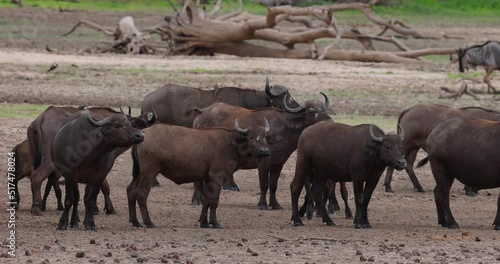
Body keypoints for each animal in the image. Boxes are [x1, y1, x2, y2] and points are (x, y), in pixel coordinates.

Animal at [26, 105, 155, 214]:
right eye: (132, 123)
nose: (141, 135)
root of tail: (42, 118)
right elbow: (104, 187)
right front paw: (106, 208)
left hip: (33, 158)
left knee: (35, 177)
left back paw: (38, 205)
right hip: (49, 161)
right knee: (37, 177)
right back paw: (36, 207)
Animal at [127, 120, 272, 228]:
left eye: (265, 136)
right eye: (251, 136)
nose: (265, 151)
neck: (231, 144)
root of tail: (143, 133)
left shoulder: (208, 179)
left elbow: (206, 200)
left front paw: (204, 223)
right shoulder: (217, 178)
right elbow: (214, 201)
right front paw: (215, 223)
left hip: (137, 174)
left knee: (130, 190)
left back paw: (135, 221)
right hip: (149, 173)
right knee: (141, 193)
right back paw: (149, 222)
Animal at [193, 94, 330, 209]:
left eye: (323, 109)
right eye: (312, 111)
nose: (329, 120)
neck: (284, 130)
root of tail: (202, 112)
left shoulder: (278, 164)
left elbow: (273, 185)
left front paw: (275, 204)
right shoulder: (264, 162)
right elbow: (264, 184)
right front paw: (263, 204)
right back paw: (196, 199)